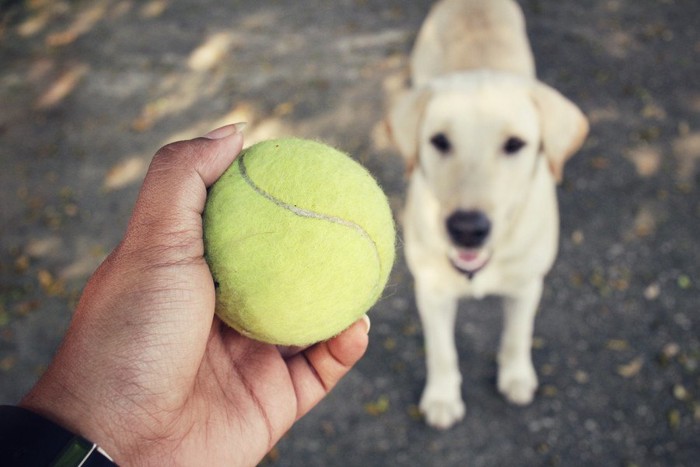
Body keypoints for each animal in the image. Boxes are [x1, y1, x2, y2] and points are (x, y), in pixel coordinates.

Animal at [388, 0, 592, 432]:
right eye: (439, 141)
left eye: (515, 144)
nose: (467, 229)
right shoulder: (431, 291)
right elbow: (441, 351)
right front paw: (442, 397)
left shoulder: (527, 286)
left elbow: (516, 335)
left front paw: (515, 376)